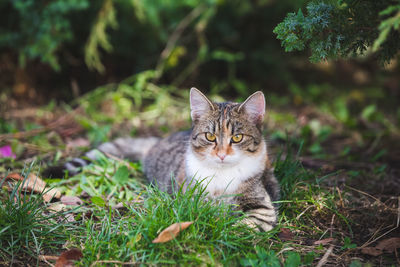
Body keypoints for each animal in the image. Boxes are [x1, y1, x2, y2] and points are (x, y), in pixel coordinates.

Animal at [46, 88, 278, 232]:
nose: (221, 154)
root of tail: (156, 142)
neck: (222, 176)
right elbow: (204, 211)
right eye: (210, 136)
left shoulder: (263, 206)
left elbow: (245, 226)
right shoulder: (188, 198)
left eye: (237, 138)